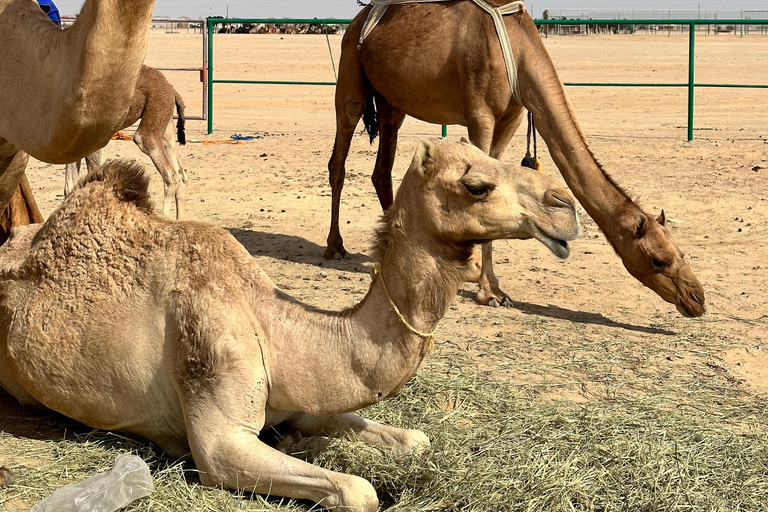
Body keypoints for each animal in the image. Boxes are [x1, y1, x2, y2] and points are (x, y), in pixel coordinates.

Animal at [0, 139, 584, 508]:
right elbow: (358, 491)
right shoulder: (218, 429)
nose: (566, 207)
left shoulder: (300, 397)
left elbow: (414, 439)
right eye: (477, 185)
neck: (272, 327)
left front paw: (309, 442)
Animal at [64, 64, 188, 218]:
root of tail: (171, 89)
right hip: (166, 124)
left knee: (171, 175)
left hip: (155, 112)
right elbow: (70, 186)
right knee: (181, 173)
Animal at [320, 0, 704, 318]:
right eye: (659, 259)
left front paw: (494, 288)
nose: (697, 298)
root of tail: (358, 20)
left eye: (680, 253)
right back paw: (335, 246)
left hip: (391, 101)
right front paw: (486, 291)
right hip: (352, 76)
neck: (519, 53)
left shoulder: (512, 117)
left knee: (381, 170)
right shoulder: (480, 114)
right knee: (339, 156)